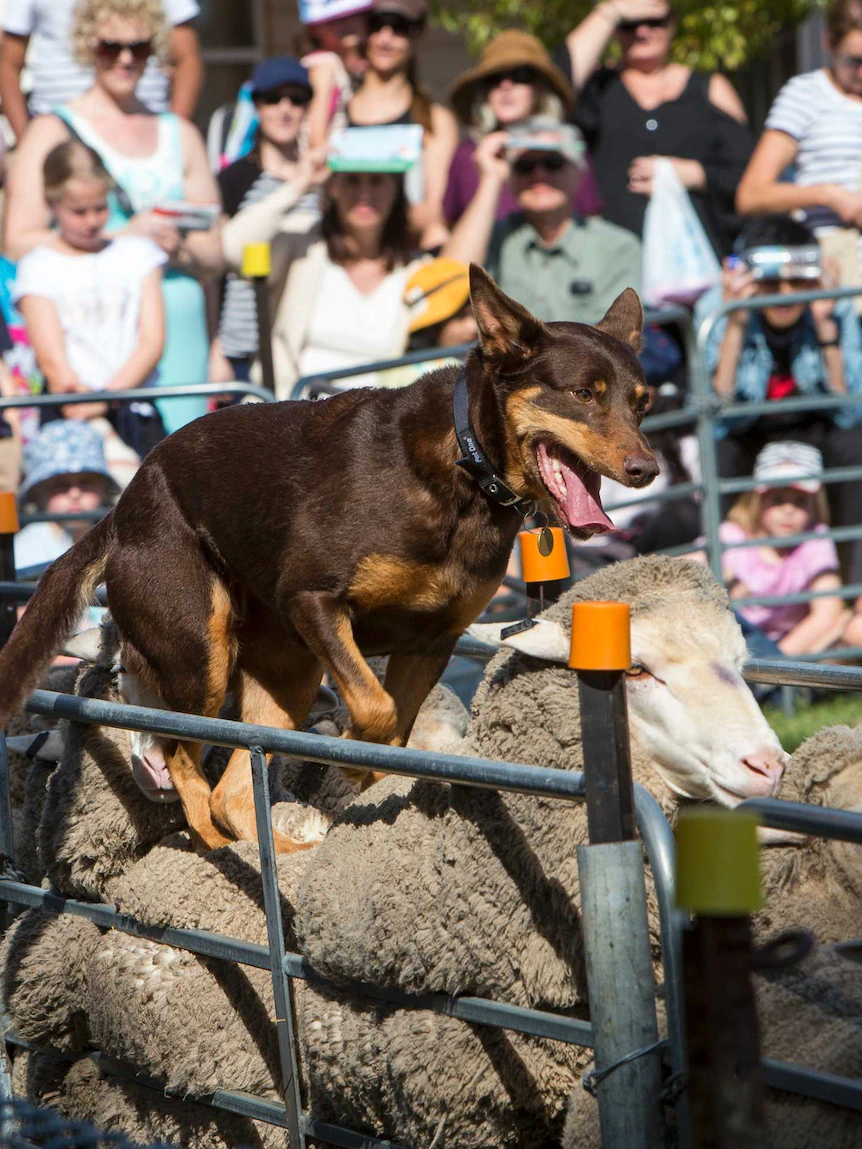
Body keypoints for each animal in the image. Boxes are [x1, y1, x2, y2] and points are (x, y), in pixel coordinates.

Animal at [0, 266, 652, 854]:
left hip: (287, 671)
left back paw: (284, 855)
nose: (647, 469)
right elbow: (376, 710)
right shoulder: (315, 599)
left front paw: (360, 779)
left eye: (642, 404)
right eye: (582, 394)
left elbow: (394, 733)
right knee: (182, 759)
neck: (467, 468)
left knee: (231, 790)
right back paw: (219, 849)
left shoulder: (431, 641)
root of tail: (121, 506)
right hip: (199, 652)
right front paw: (348, 762)